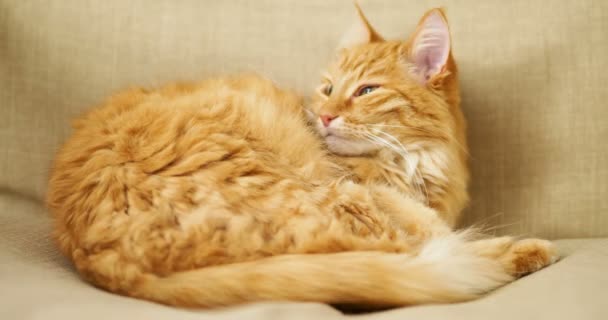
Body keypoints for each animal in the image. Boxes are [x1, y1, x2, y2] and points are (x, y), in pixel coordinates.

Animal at [46, 6, 560, 308]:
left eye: (366, 91)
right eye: (329, 89)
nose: (325, 115)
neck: (413, 159)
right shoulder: (375, 195)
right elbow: (435, 231)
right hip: (335, 203)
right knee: (431, 251)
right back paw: (526, 250)